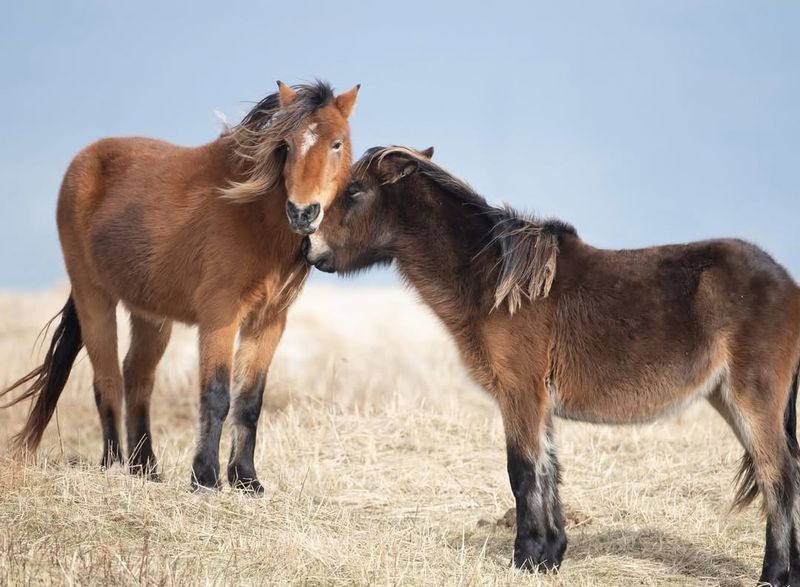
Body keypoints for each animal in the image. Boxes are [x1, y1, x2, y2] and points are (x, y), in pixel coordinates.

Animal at [0, 80, 360, 494]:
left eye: (337, 143)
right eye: (285, 144)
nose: (303, 212)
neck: (252, 219)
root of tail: (84, 161)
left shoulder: (268, 321)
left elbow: (249, 401)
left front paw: (246, 480)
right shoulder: (219, 317)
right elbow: (216, 395)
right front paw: (205, 478)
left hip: (150, 315)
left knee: (137, 376)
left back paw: (146, 469)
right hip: (94, 298)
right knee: (107, 378)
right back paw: (113, 466)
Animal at [304, 147, 800, 587]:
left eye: (354, 191)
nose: (312, 250)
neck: (495, 280)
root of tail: (784, 280)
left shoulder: (520, 392)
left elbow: (522, 470)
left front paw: (525, 559)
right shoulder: (535, 398)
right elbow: (547, 468)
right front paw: (549, 556)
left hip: (752, 400)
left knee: (777, 476)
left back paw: (774, 575)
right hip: (727, 399)